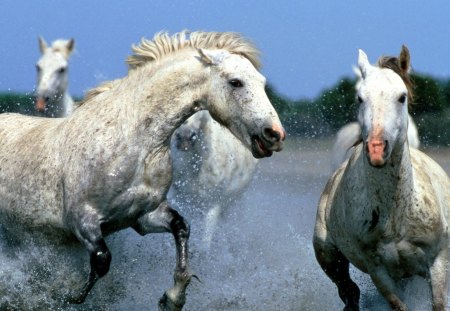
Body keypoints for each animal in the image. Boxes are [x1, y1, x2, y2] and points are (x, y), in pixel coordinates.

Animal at [312, 45, 450, 310]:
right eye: (360, 97)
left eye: (402, 96)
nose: (376, 149)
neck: (396, 213)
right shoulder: (379, 271)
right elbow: (397, 305)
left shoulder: (438, 261)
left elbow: (438, 303)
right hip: (328, 256)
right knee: (349, 292)